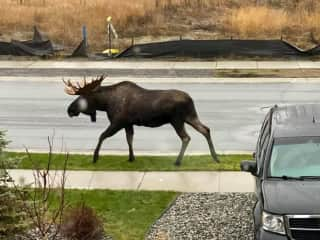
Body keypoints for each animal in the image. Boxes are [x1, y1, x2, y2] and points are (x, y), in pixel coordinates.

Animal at [63, 76, 219, 166]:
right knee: (206, 129)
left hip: (177, 120)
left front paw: (95, 158)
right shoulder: (128, 123)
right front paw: (131, 158)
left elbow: (102, 136)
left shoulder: (118, 122)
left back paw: (178, 161)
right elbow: (129, 139)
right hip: (190, 116)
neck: (105, 103)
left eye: (82, 97)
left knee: (186, 137)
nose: (69, 110)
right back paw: (215, 157)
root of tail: (191, 99)